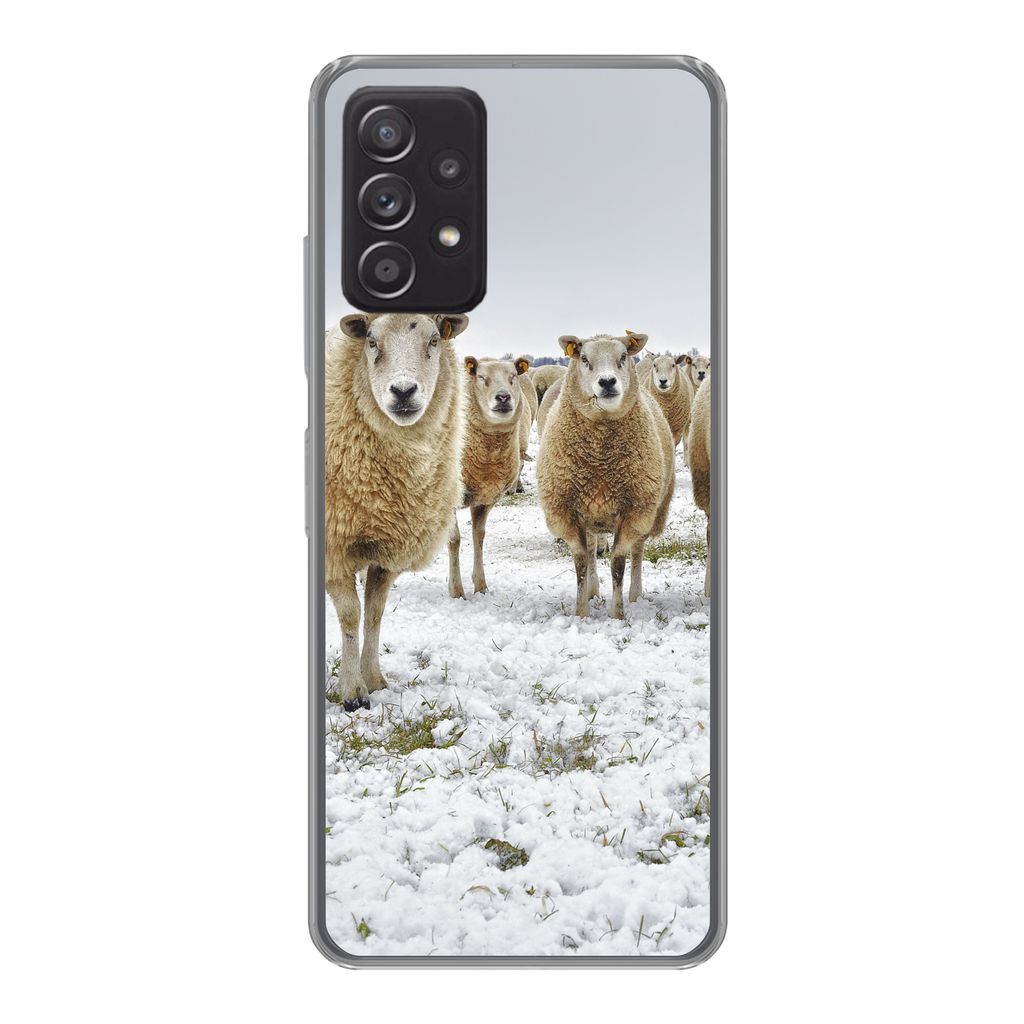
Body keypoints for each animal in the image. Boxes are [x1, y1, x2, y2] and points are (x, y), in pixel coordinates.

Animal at [325, 311, 468, 710]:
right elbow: (350, 615)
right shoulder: (333, 546)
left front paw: (374, 680)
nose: (403, 391)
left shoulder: (390, 547)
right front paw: (352, 693)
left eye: (434, 339)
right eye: (371, 340)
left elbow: (374, 613)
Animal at [448, 356, 530, 597]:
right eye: (482, 377)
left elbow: (479, 536)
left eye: (513, 376)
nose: (503, 397)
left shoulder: (484, 499)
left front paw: (480, 585)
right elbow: (455, 540)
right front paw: (456, 591)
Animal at [537, 332, 674, 619]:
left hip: (651, 509)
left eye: (623, 357)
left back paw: (636, 594)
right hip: (590, 513)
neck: (600, 460)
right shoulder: (568, 511)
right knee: (591, 550)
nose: (607, 381)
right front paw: (582, 612)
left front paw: (618, 614)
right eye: (584, 358)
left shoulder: (633, 510)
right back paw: (592, 590)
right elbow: (580, 563)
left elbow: (619, 563)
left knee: (638, 550)